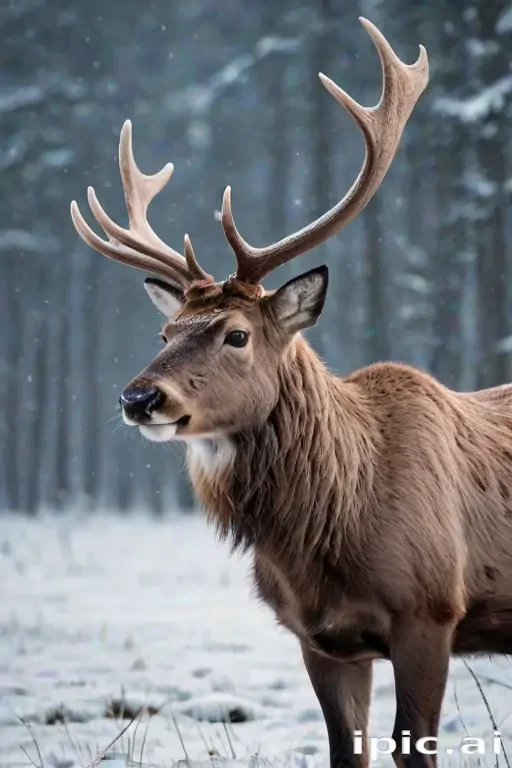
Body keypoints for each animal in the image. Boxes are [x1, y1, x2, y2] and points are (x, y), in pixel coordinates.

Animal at [70, 17, 512, 768]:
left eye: (236, 334)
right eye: (166, 329)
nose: (138, 399)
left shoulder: (431, 611)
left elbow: (413, 748)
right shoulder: (319, 639)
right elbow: (346, 750)